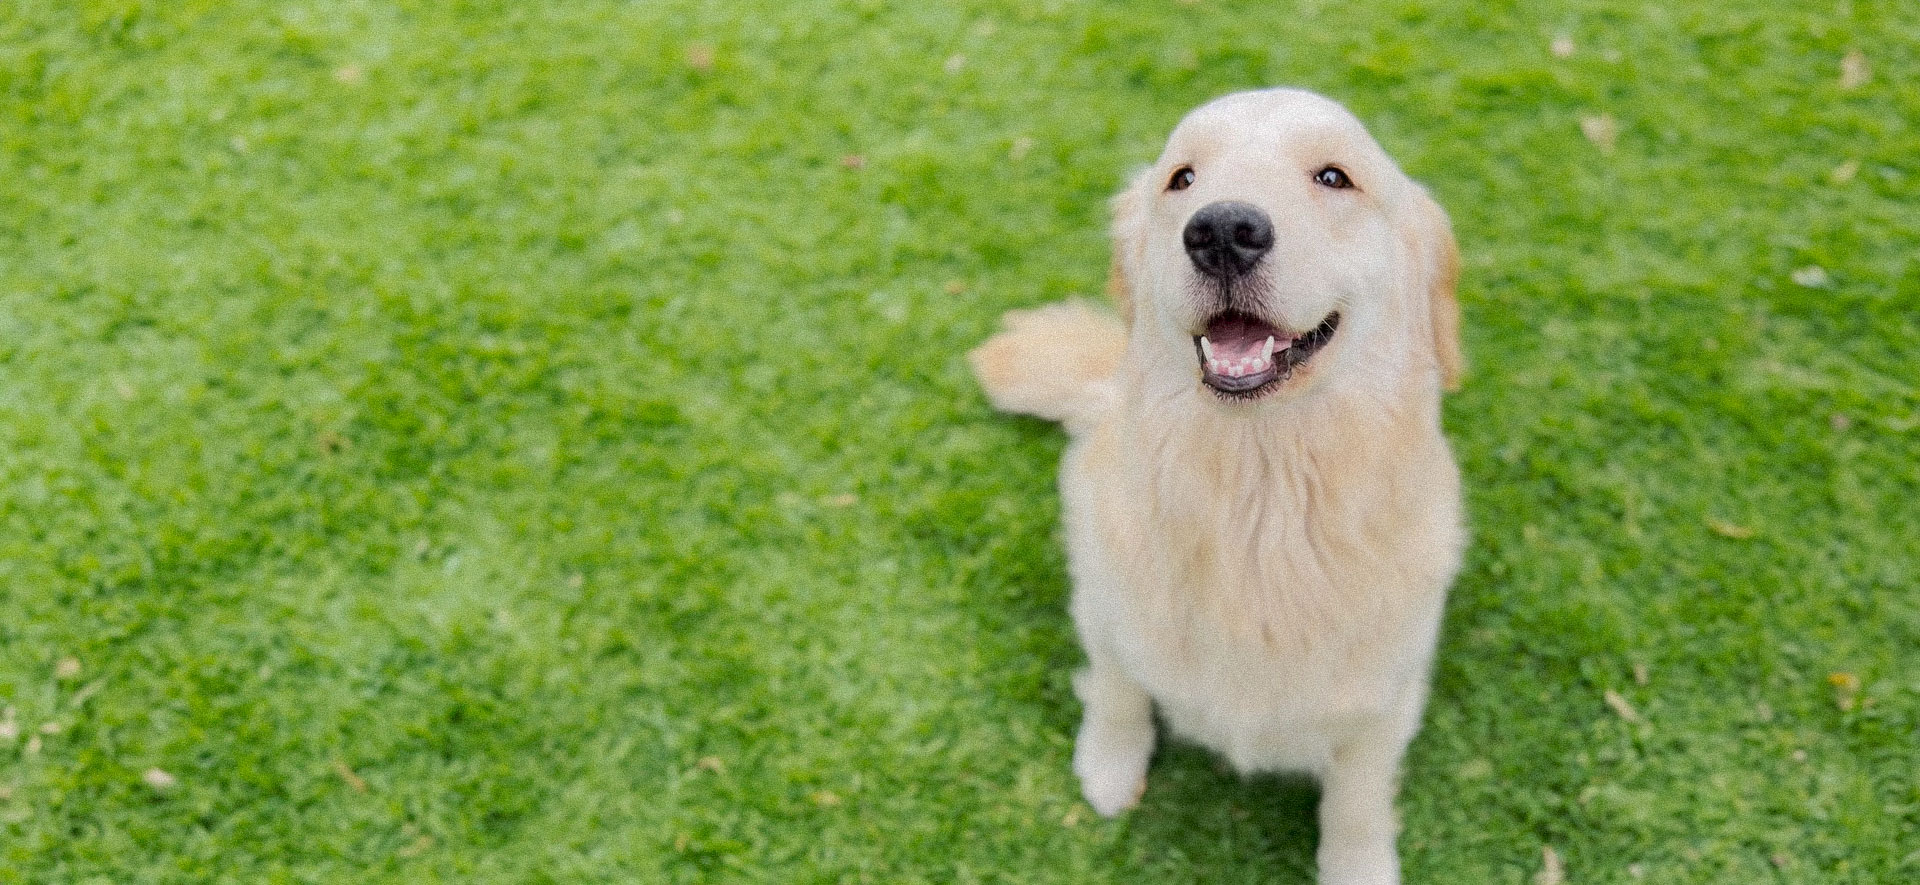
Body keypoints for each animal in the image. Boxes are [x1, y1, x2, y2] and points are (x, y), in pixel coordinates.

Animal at [967, 87, 1459, 883]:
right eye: (1183, 178)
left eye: (1333, 177)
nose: (1223, 231)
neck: (1257, 500)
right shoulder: (1109, 614)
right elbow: (1116, 690)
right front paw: (1108, 766)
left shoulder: (1385, 696)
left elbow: (1356, 797)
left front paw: (1357, 863)